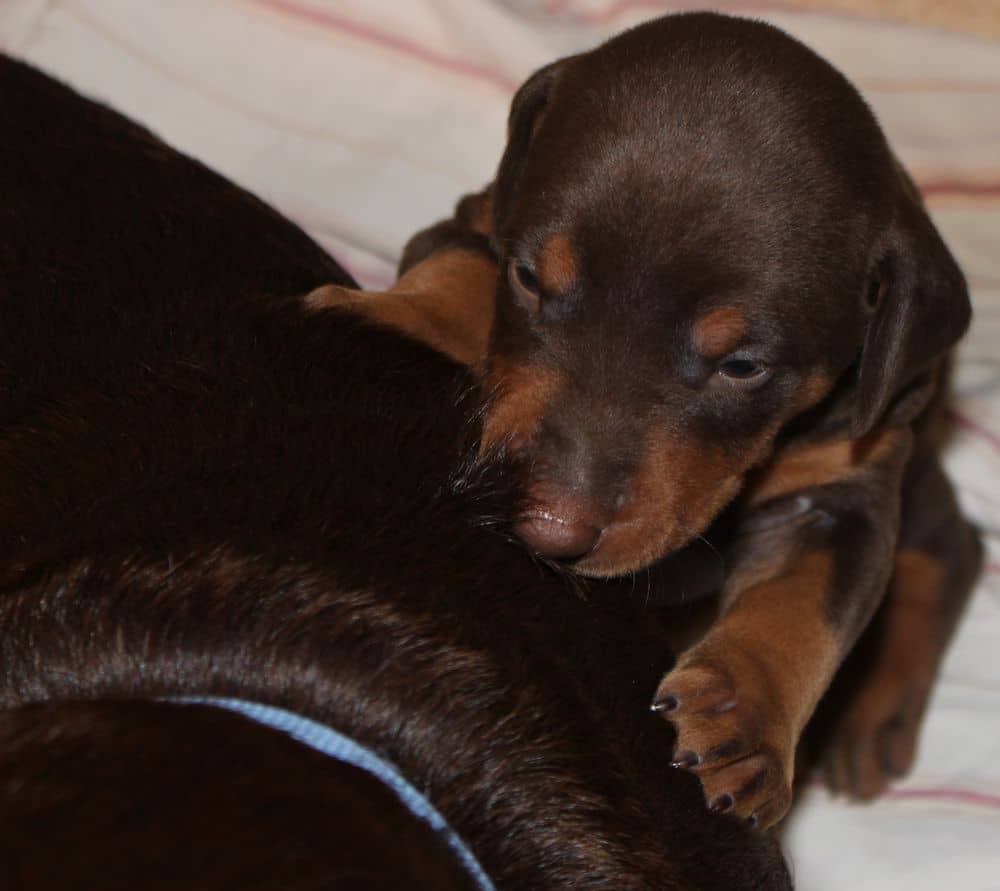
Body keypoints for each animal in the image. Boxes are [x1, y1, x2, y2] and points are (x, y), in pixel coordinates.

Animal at [396, 10, 976, 828]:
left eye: (744, 366)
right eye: (531, 278)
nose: (550, 531)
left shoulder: (842, 483)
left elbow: (802, 604)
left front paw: (743, 719)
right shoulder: (471, 219)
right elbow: (459, 271)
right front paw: (397, 312)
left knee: (953, 543)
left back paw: (876, 714)